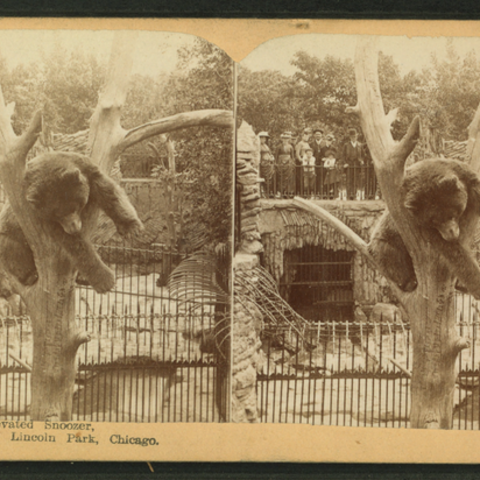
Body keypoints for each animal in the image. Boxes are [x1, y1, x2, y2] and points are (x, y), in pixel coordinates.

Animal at [0, 152, 143, 294]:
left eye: (75, 207)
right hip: (11, 235)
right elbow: (74, 244)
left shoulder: (88, 169)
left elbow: (109, 192)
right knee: (14, 252)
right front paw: (105, 280)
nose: (73, 227)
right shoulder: (38, 215)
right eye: (56, 215)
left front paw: (131, 228)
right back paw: (30, 275)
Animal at [370, 159, 480, 298]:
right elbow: (453, 252)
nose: (451, 234)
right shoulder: (417, 224)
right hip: (386, 239)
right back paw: (409, 281)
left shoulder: (468, 178)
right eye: (434, 221)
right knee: (390, 255)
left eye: (452, 214)